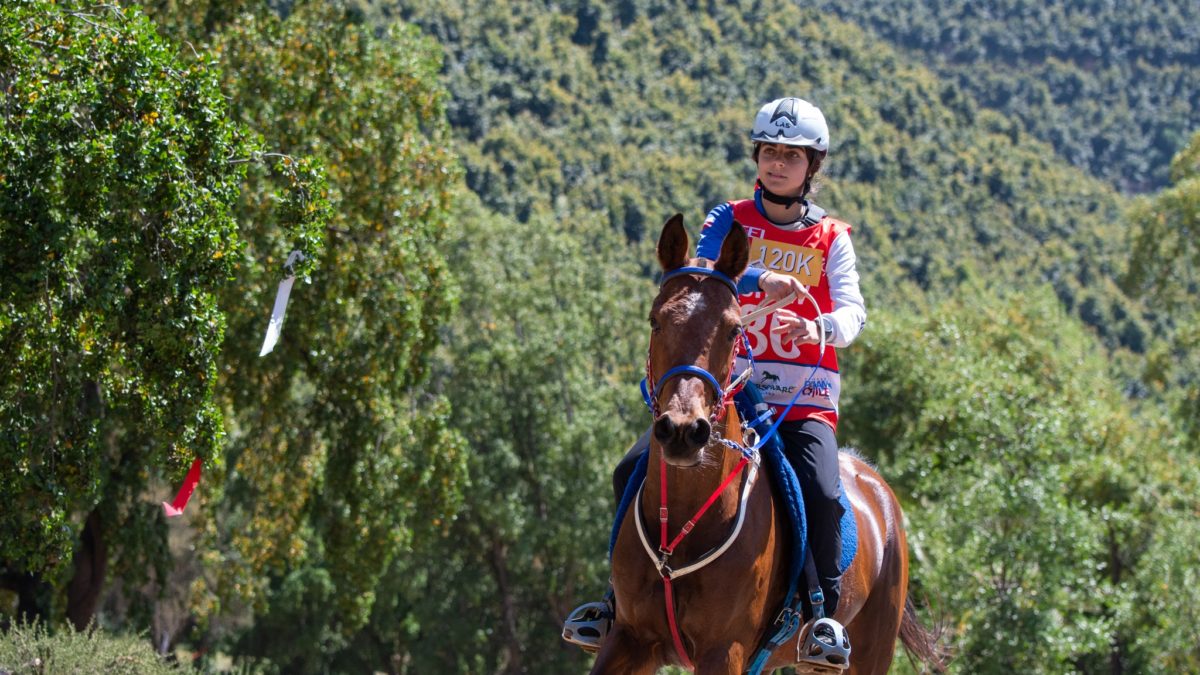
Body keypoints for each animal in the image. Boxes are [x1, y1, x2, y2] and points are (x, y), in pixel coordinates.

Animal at [592, 214, 945, 672]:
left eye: (733, 329)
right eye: (656, 321)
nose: (684, 431)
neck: (684, 529)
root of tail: (878, 487)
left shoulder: (724, 650)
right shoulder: (631, 638)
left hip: (871, 650)